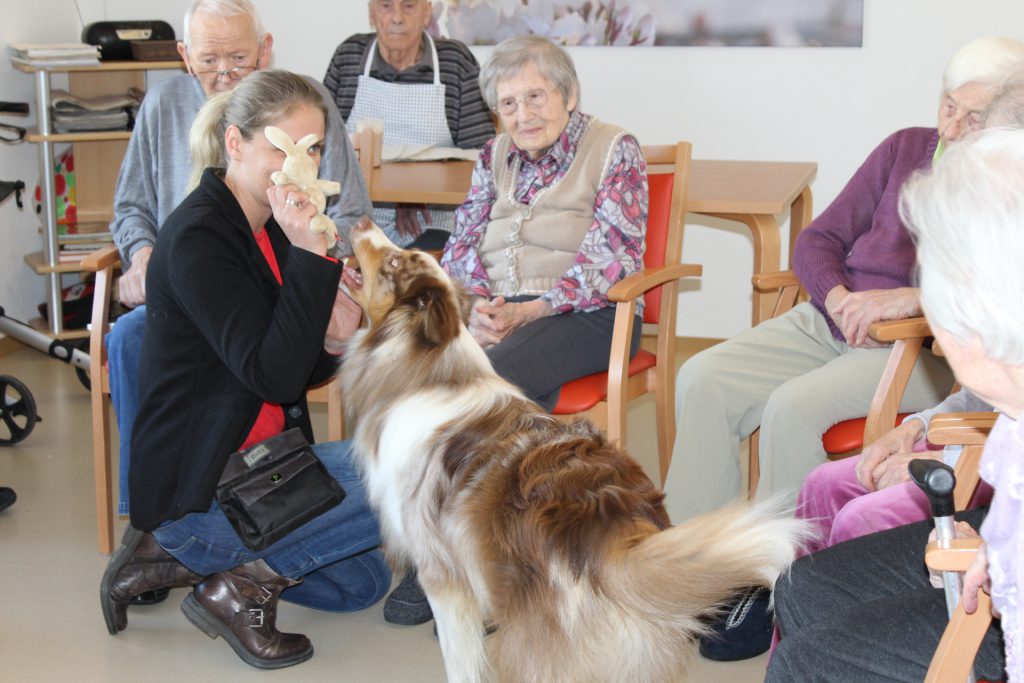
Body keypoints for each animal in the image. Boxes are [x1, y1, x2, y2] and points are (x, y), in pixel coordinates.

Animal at [339, 222, 811, 679]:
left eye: (395, 261)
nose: (360, 220)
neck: (426, 369)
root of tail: (610, 522)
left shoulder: (444, 579)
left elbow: (461, 664)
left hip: (534, 640)